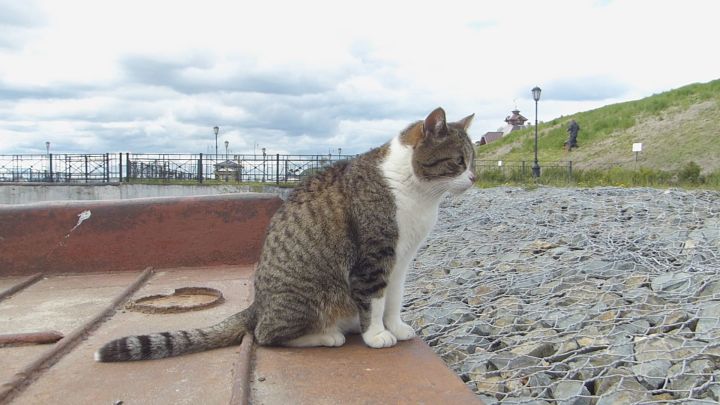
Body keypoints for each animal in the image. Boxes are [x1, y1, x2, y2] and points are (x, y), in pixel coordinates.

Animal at [97, 107, 478, 360]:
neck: (418, 193)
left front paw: (394, 327)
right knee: (265, 335)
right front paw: (376, 335)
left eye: (473, 161)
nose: (474, 178)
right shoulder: (373, 259)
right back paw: (326, 336)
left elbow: (394, 300)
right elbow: (374, 300)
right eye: (459, 161)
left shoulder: (400, 261)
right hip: (308, 298)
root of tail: (256, 306)